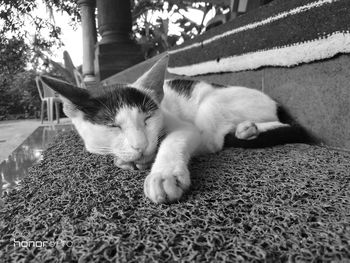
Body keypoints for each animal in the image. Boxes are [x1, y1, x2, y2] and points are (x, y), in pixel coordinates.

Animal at [41, 54, 312, 205]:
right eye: (113, 126)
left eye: (147, 118)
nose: (141, 146)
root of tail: (275, 103)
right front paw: (124, 160)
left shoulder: (184, 127)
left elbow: (175, 140)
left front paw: (164, 176)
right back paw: (247, 129)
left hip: (213, 103)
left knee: (215, 138)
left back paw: (245, 130)